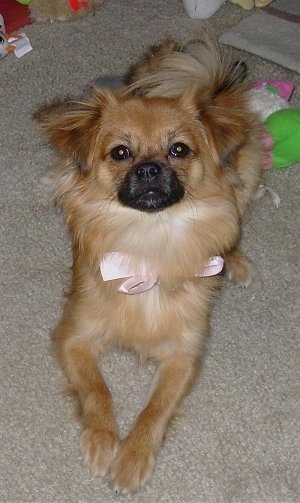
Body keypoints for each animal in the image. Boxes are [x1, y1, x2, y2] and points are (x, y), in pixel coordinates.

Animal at [38, 38, 264, 492]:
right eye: (120, 153)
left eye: (179, 150)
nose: (147, 169)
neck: (150, 240)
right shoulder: (73, 337)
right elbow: (97, 391)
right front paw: (102, 440)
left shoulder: (183, 356)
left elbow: (155, 409)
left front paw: (133, 457)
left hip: (243, 185)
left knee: (233, 227)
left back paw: (236, 262)